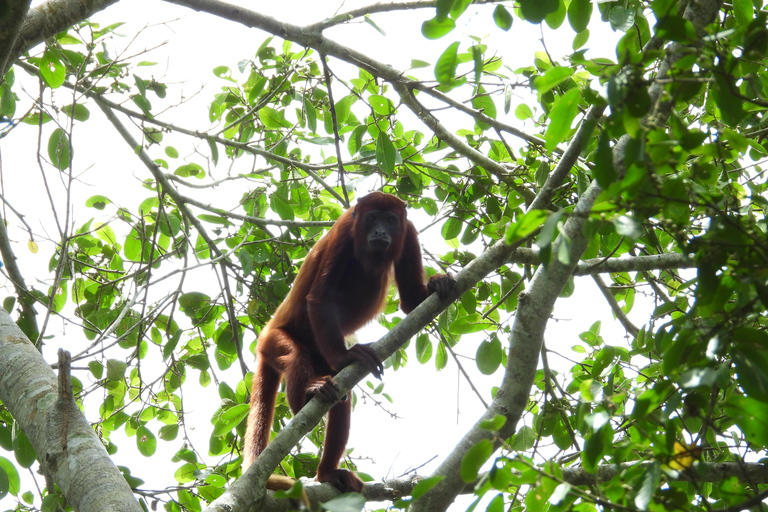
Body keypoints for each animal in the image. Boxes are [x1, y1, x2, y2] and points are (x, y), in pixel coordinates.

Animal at [243, 191, 452, 492]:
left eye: (391, 221)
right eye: (371, 218)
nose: (380, 232)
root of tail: (263, 335)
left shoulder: (409, 232)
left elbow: (412, 301)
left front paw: (437, 284)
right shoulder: (343, 232)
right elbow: (320, 298)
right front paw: (348, 357)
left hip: (321, 355)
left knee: (342, 398)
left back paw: (328, 473)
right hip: (273, 341)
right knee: (295, 356)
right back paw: (305, 395)